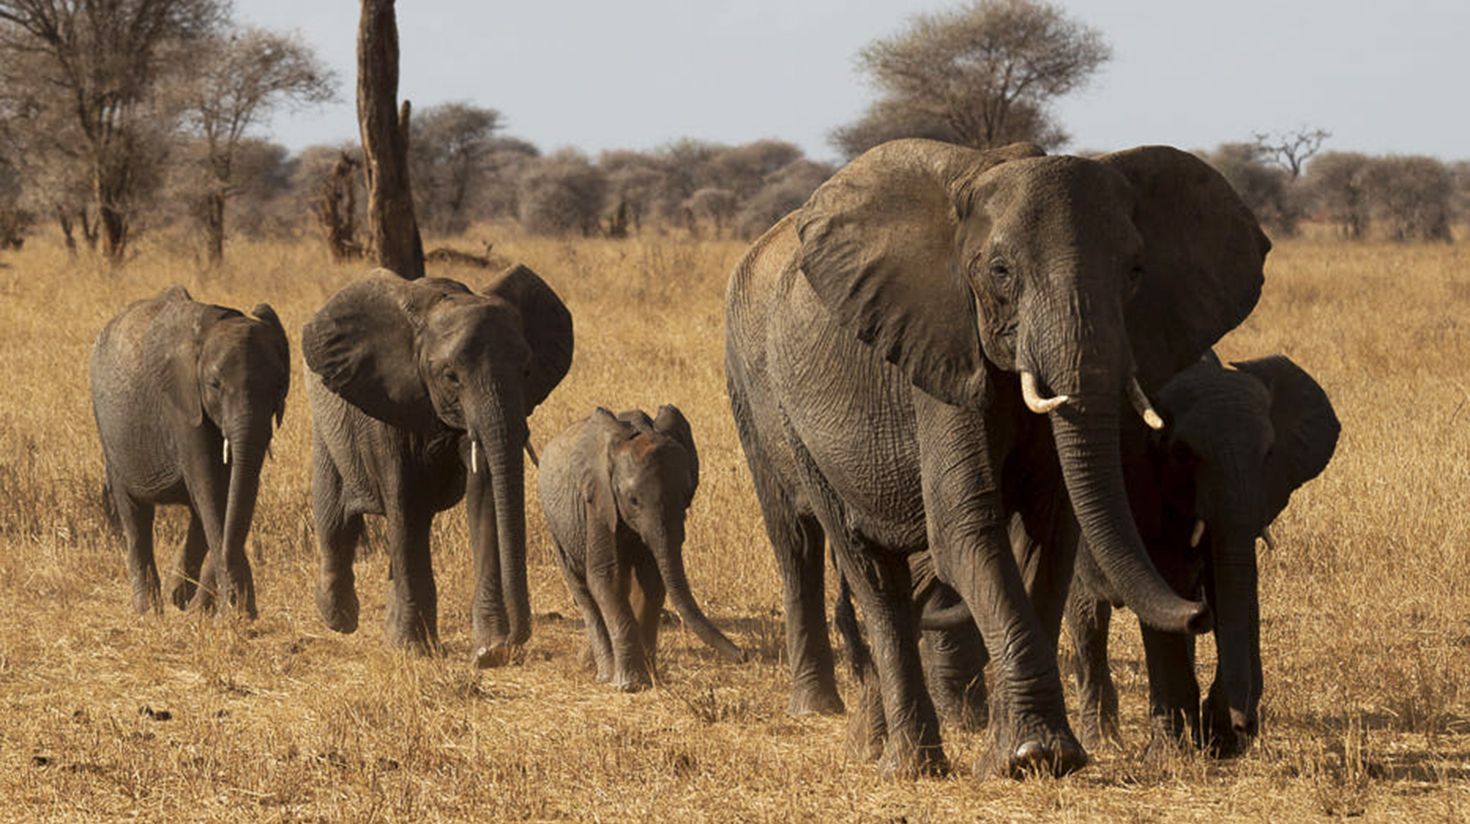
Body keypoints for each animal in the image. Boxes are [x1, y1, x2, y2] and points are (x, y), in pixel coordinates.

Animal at [90, 286, 289, 617]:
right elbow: (209, 488)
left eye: (279, 386)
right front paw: (235, 613)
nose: (237, 607)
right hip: (110, 436)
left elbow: (231, 491)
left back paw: (178, 596)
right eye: (214, 385)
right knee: (135, 515)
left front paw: (207, 607)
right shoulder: (182, 405)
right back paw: (150, 611)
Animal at [302, 265, 572, 666]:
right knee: (336, 515)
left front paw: (488, 647)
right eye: (450, 377)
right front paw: (413, 649)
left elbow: (485, 496)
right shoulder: (386, 401)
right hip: (326, 418)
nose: (511, 641)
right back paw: (339, 617)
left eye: (526, 371)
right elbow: (402, 502)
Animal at [537, 405, 744, 691]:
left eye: (686, 495)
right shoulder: (598, 501)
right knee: (584, 591)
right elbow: (606, 576)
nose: (743, 655)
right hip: (556, 526)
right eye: (632, 500)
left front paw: (650, 677)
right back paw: (604, 673)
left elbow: (653, 579)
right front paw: (630, 684)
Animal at [724, 139, 1269, 777]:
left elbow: (1048, 537)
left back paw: (879, 746)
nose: (1197, 610)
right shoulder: (943, 352)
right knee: (846, 562)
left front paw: (1039, 755)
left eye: (1136, 271)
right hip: (779, 408)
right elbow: (967, 530)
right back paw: (905, 763)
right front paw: (1035, 755)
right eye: (1001, 272)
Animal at [1065, 353, 1340, 756]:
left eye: (1269, 453)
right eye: (1182, 453)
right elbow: (1167, 578)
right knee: (1088, 621)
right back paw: (1103, 741)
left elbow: (1235, 584)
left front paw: (1220, 740)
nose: (1247, 725)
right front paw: (1173, 750)